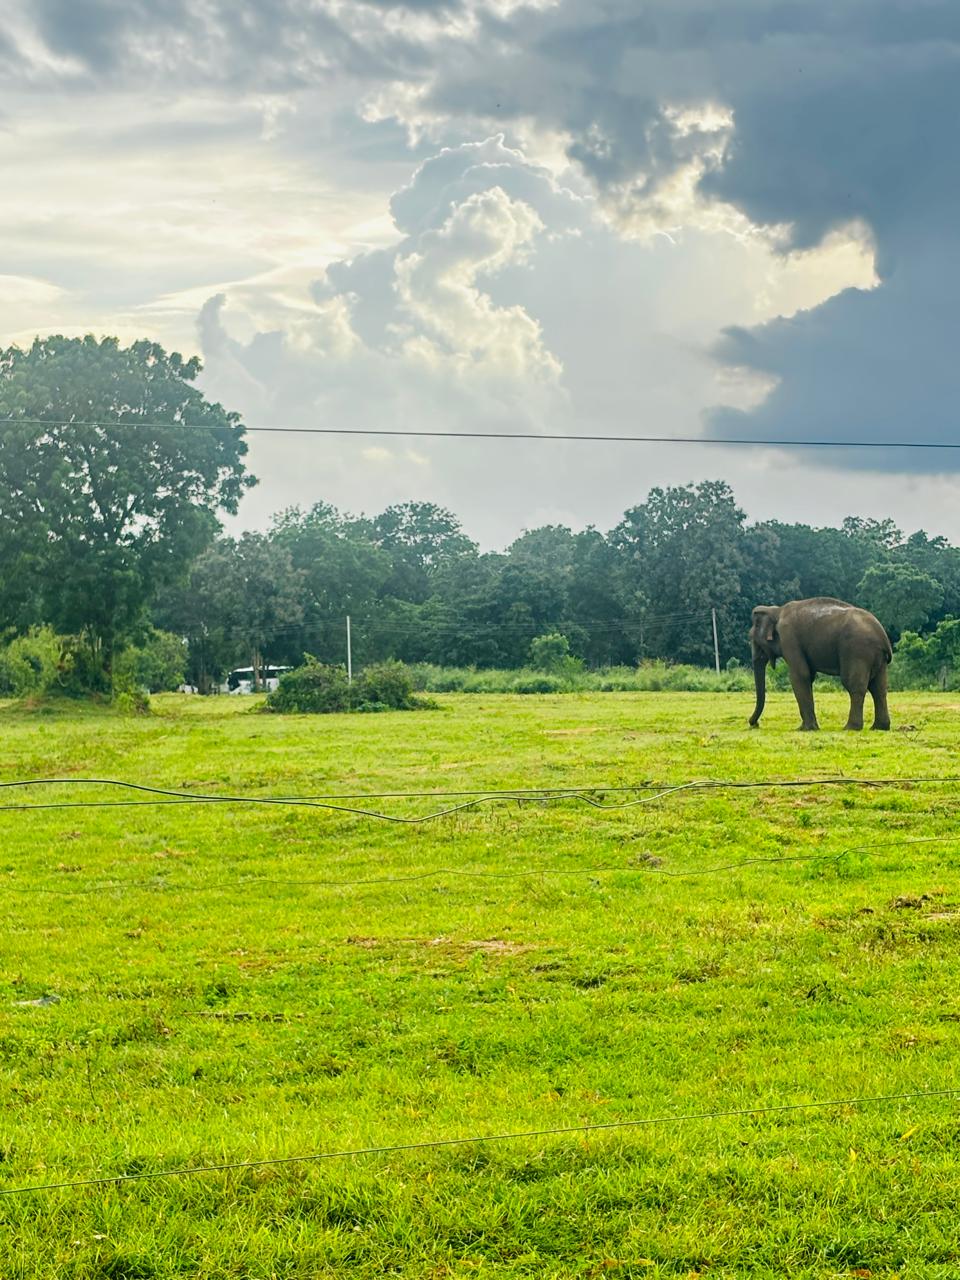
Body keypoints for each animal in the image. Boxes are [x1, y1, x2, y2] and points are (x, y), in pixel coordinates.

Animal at [749, 597, 892, 731]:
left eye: (752, 639)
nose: (754, 724)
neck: (776, 610)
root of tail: (883, 636)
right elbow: (809, 676)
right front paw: (808, 728)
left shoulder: (788, 638)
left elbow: (800, 675)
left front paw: (805, 729)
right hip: (878, 657)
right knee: (878, 688)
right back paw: (879, 727)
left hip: (857, 650)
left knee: (854, 685)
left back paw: (850, 728)